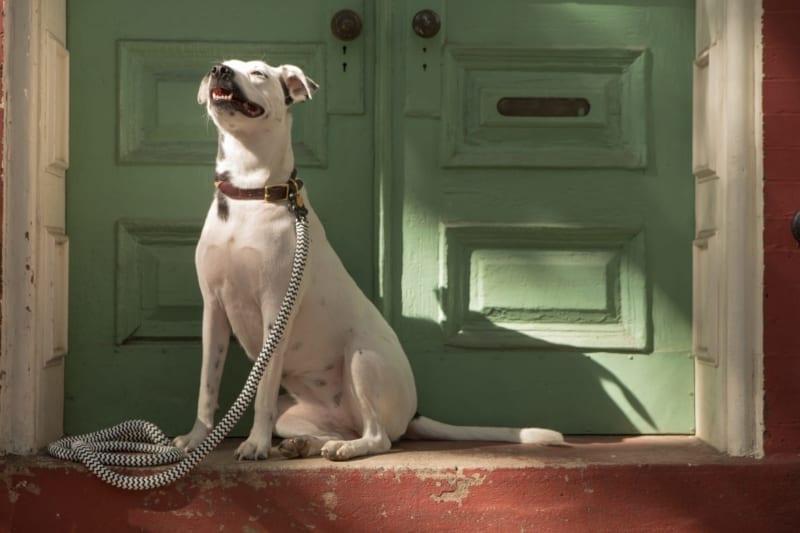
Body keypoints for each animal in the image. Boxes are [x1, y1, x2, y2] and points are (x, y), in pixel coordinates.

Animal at [175, 59, 564, 462]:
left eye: (258, 73)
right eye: (225, 64)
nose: (219, 69)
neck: (250, 193)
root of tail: (413, 413)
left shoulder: (275, 312)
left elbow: (262, 391)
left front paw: (255, 443)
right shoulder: (214, 310)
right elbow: (207, 386)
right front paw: (196, 439)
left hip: (362, 358)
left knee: (379, 438)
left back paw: (345, 449)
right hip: (295, 412)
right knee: (339, 431)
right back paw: (306, 444)